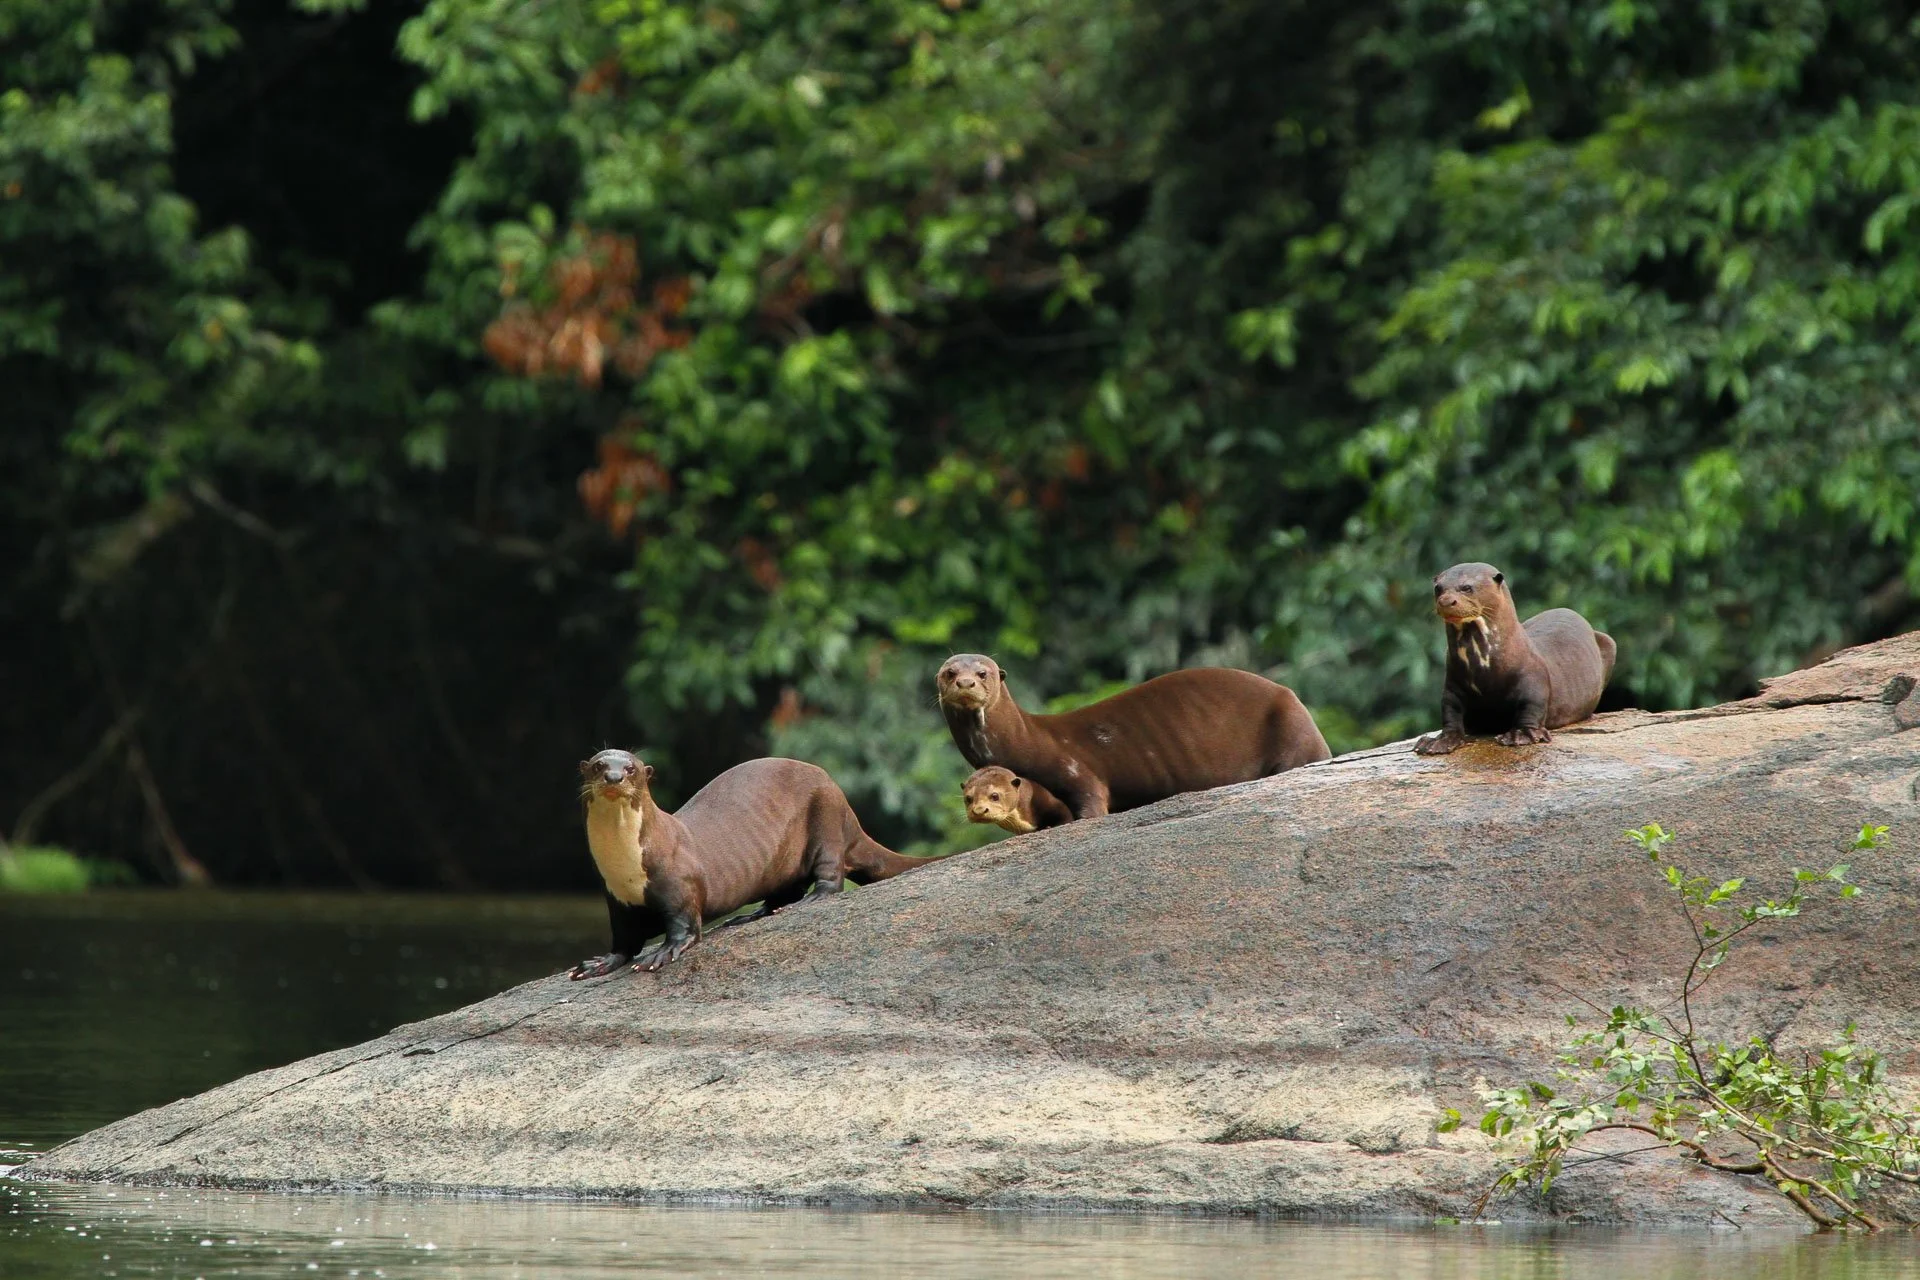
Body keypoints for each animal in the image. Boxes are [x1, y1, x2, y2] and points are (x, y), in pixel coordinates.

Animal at [570, 751, 936, 977]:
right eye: (599, 766)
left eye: (631, 768)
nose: (614, 777)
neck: (628, 867)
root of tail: (848, 810)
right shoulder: (616, 899)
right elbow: (624, 941)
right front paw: (598, 963)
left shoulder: (680, 887)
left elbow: (685, 927)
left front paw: (661, 953)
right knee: (786, 891)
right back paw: (752, 915)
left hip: (827, 815)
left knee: (830, 877)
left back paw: (809, 901)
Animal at [935, 656, 1330, 820]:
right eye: (949, 672)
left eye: (983, 673)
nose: (966, 683)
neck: (1030, 740)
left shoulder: (1076, 770)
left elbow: (1090, 802)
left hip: (1293, 730)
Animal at [1413, 562, 1616, 755]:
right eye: (1438, 588)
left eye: (1467, 587)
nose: (1446, 601)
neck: (1485, 669)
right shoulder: (1453, 682)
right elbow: (1450, 711)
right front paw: (1439, 741)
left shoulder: (1533, 678)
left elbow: (1531, 706)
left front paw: (1521, 734)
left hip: (1609, 642)